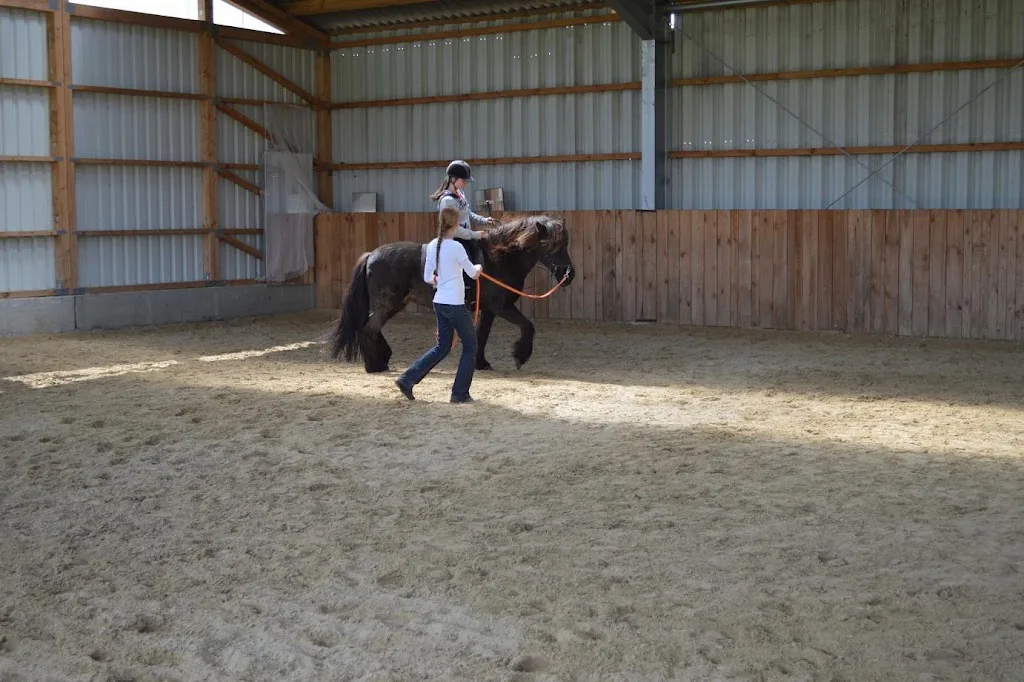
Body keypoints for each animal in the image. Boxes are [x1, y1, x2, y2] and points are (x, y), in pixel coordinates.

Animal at [327, 214, 575, 373]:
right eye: (553, 247)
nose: (569, 275)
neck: (499, 259)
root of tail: (371, 254)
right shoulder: (502, 307)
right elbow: (527, 326)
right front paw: (520, 356)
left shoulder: (489, 310)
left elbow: (481, 336)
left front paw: (481, 363)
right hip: (388, 304)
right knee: (367, 329)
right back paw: (374, 366)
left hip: (393, 305)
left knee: (369, 327)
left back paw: (383, 358)